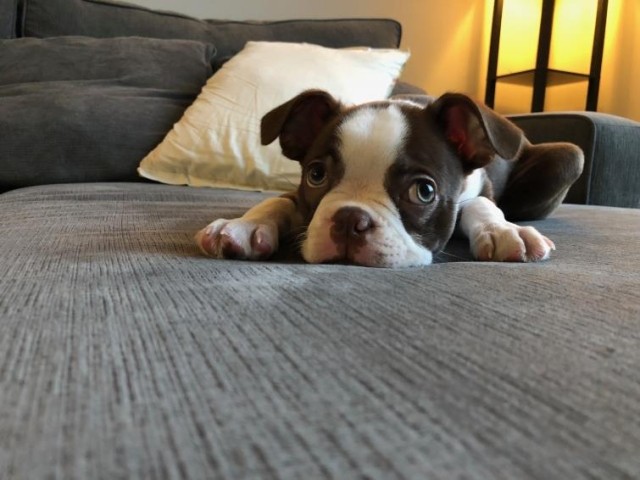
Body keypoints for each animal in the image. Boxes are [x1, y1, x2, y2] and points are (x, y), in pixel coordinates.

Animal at [195, 91, 584, 266]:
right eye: (316, 175)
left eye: (424, 191)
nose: (349, 219)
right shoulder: (297, 193)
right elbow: (277, 200)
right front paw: (244, 225)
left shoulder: (478, 190)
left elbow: (481, 205)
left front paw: (504, 231)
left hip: (569, 157)